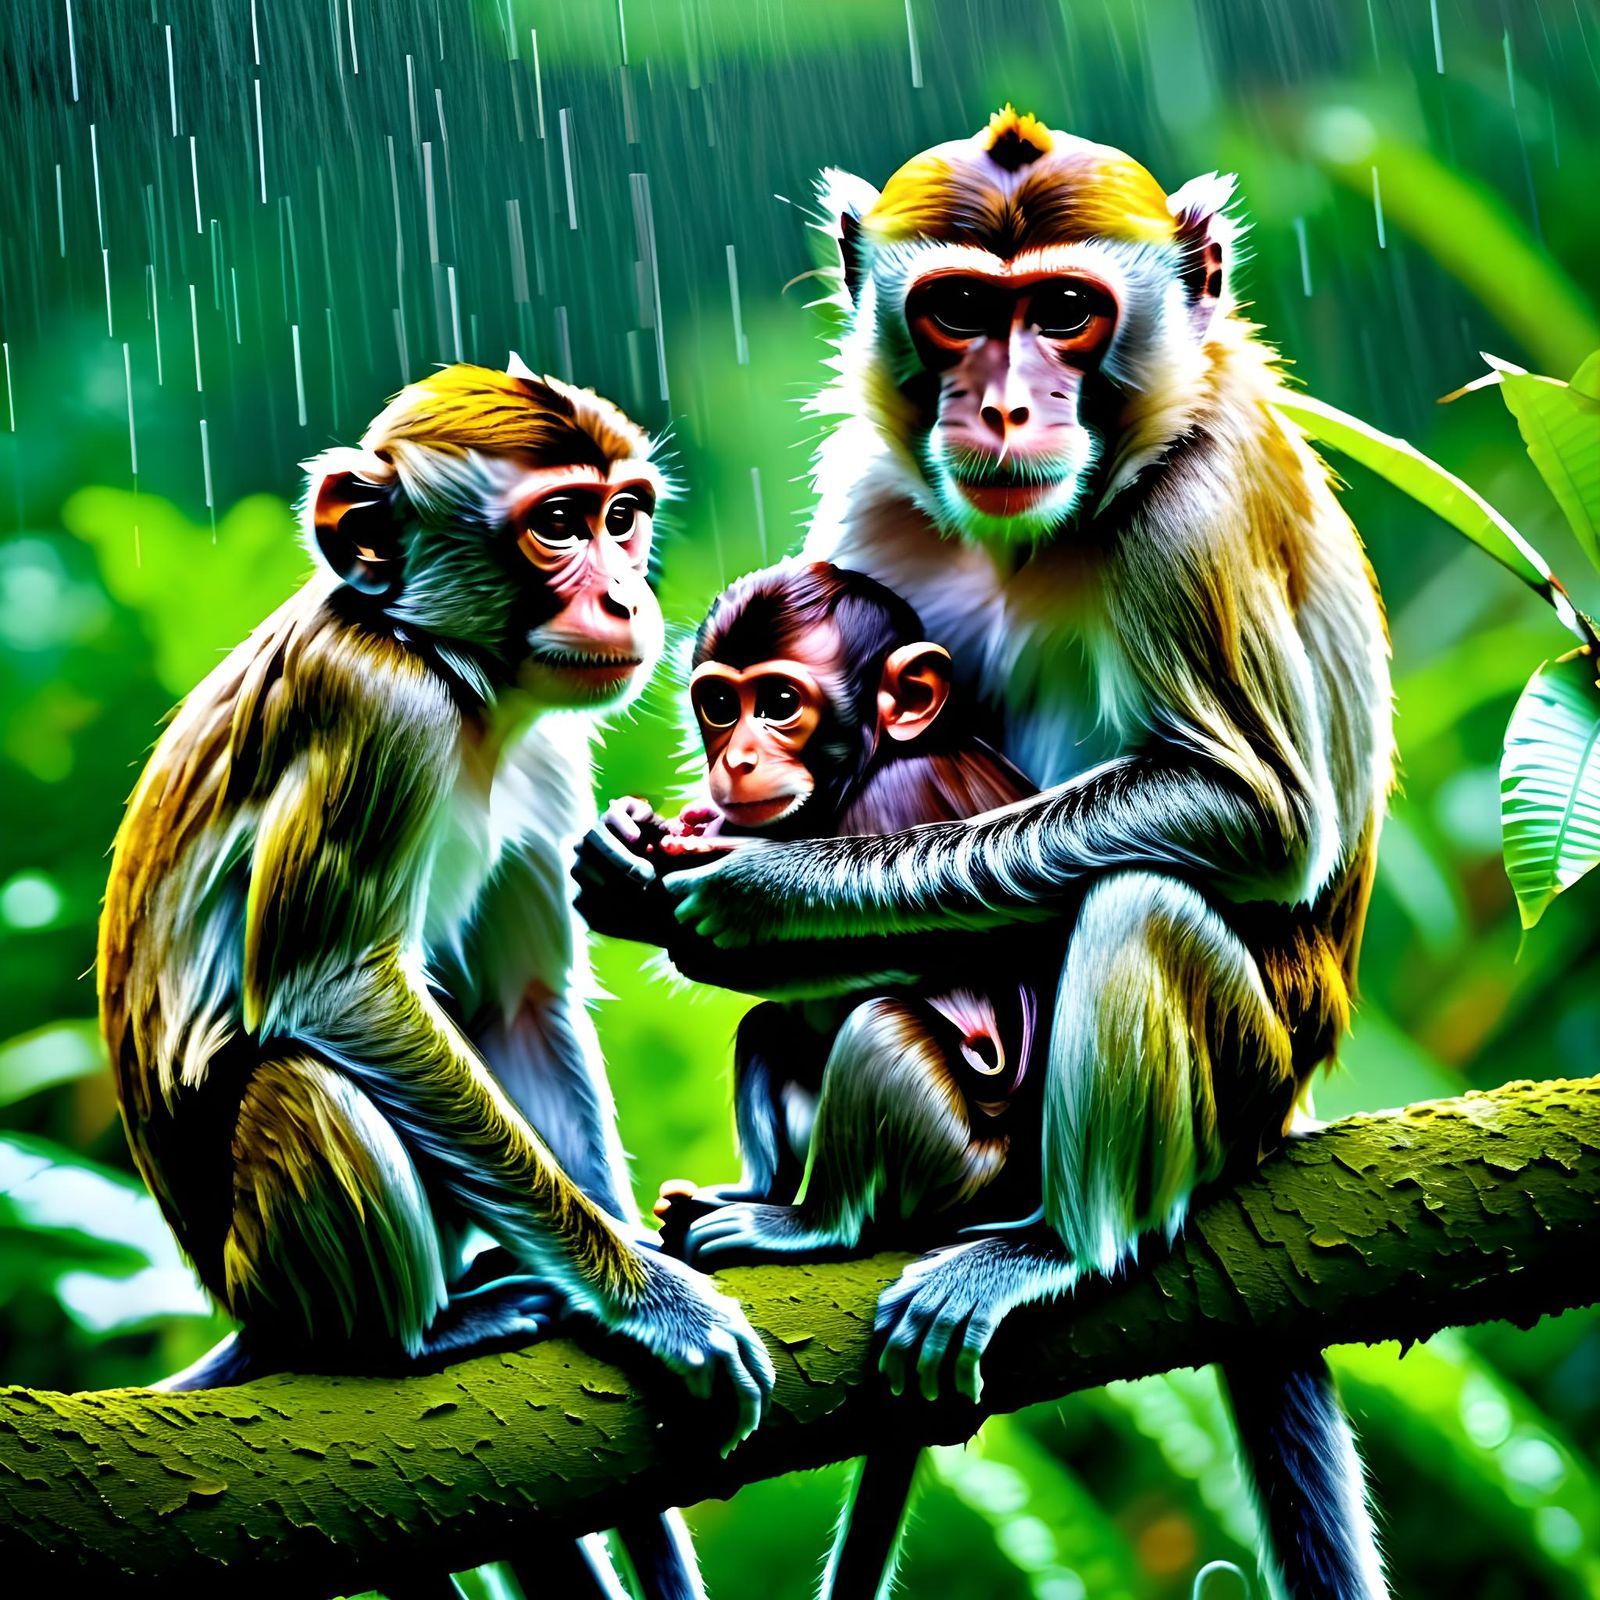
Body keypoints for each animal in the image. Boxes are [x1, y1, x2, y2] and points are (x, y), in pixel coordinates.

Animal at [98, 358, 774, 1600]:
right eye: (557, 524)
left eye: (623, 515)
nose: (626, 599)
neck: (460, 683)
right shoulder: (379, 711)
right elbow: (328, 990)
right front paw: (655, 1306)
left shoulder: (550, 749)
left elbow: (516, 1011)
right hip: (269, 1267)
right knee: (300, 1078)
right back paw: (414, 1337)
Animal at [575, 108, 1392, 1600]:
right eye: (958, 311)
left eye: (1065, 312)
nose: (1003, 406)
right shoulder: (875, 488)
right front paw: (632, 851)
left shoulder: (1196, 507)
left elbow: (1255, 811)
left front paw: (759, 897)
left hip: (1241, 1075)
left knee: (1140, 905)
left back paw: (1046, 1246)